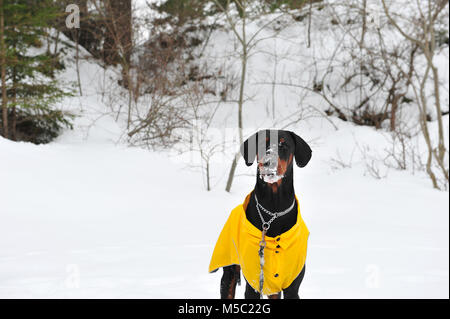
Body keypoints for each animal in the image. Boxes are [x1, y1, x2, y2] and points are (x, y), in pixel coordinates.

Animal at [208, 129, 312, 300]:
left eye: (284, 145)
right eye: (263, 143)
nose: (268, 162)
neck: (274, 210)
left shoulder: (292, 286)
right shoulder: (253, 284)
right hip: (229, 273)